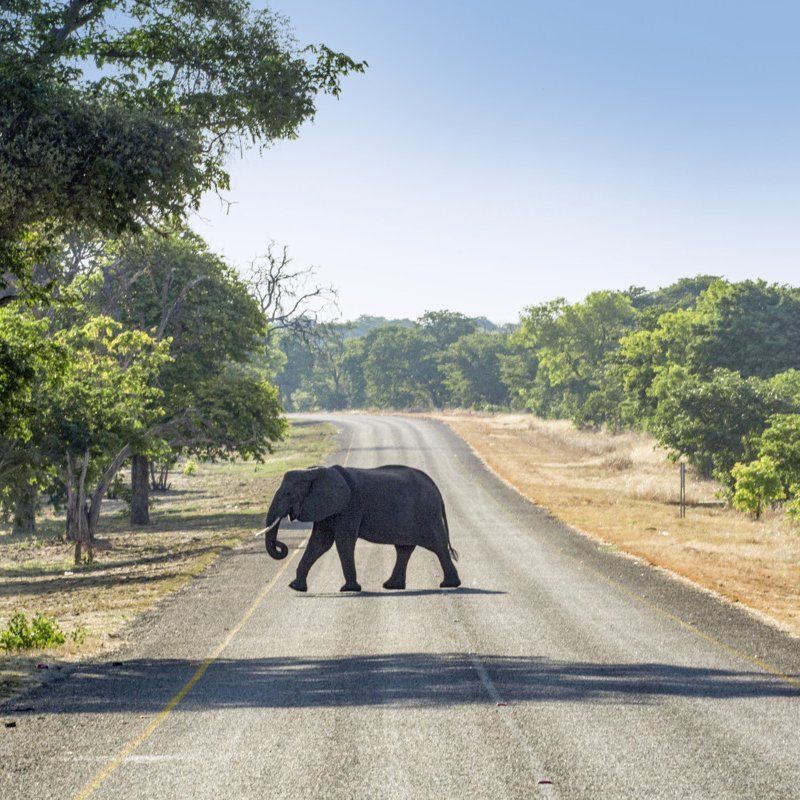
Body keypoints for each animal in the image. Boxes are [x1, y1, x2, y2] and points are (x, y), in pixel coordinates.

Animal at [259, 464, 461, 593]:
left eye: (288, 493)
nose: (281, 546)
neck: (316, 471)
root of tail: (437, 489)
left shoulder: (350, 506)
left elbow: (342, 541)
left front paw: (349, 589)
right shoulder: (328, 508)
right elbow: (319, 543)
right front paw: (296, 587)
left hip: (427, 513)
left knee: (438, 546)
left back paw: (449, 585)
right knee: (404, 549)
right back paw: (391, 586)